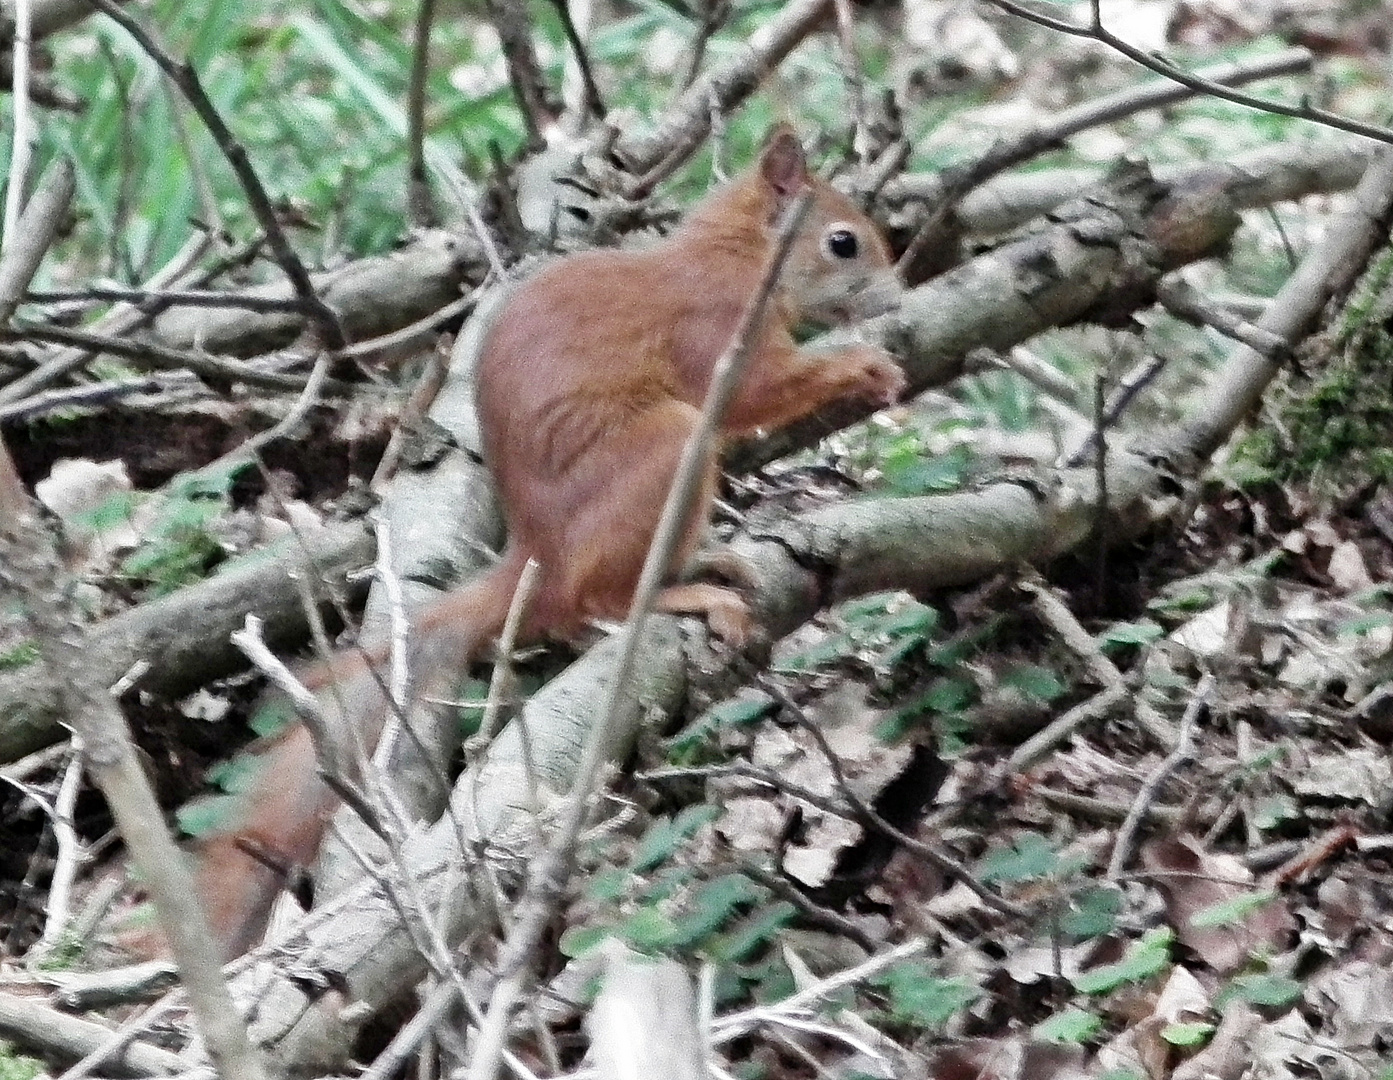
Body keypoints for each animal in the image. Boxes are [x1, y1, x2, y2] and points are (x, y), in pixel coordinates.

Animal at [188, 122, 902, 958]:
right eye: (842, 242)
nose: (894, 297)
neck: (740, 255)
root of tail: (539, 558)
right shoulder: (717, 330)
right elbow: (756, 396)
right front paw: (861, 365)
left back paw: (708, 560)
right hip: (663, 452)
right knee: (592, 601)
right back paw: (680, 594)